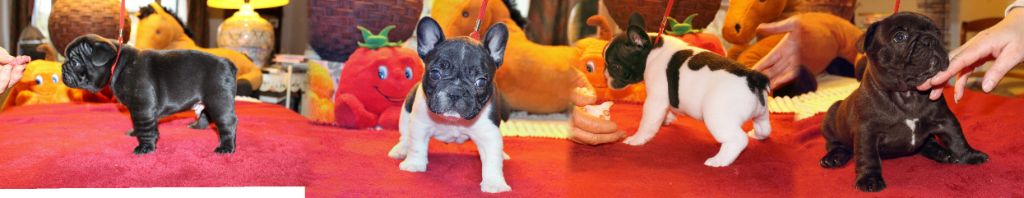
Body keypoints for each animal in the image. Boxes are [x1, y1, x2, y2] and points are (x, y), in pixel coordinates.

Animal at [385, 17, 512, 192]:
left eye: (480, 81)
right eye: (435, 73)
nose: (455, 92)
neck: (454, 121)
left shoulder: (489, 134)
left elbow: (492, 159)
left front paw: (494, 183)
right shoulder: (420, 124)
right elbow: (416, 145)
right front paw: (414, 164)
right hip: (406, 110)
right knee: (405, 135)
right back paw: (401, 149)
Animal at [602, 14, 770, 167]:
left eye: (615, 67)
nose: (605, 76)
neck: (651, 50)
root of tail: (752, 77)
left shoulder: (655, 100)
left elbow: (648, 122)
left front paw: (637, 139)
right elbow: (668, 109)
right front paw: (667, 118)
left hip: (717, 116)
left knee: (737, 139)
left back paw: (719, 161)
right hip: (761, 112)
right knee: (764, 128)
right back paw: (756, 135)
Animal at [819, 12, 987, 191]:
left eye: (937, 33)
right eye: (899, 37)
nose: (930, 40)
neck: (908, 94)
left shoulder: (945, 120)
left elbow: (957, 139)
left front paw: (970, 156)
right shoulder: (866, 132)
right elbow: (868, 156)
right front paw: (869, 179)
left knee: (928, 144)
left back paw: (943, 153)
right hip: (831, 120)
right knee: (836, 145)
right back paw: (833, 158)